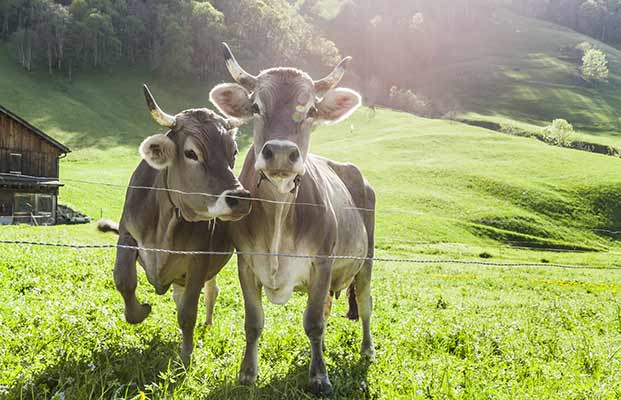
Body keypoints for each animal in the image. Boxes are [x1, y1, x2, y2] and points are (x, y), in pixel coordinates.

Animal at [97, 85, 252, 366]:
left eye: (233, 152)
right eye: (191, 153)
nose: (241, 198)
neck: (165, 226)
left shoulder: (199, 258)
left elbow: (188, 312)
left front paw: (186, 355)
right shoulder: (127, 236)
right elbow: (124, 281)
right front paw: (141, 310)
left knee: (211, 292)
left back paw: (207, 324)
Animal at [208, 43, 376, 394]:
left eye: (310, 110)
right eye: (256, 106)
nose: (282, 153)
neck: (279, 212)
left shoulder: (322, 262)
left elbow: (313, 323)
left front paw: (319, 378)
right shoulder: (246, 263)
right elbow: (253, 321)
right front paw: (248, 372)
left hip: (366, 260)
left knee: (365, 303)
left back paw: (367, 349)